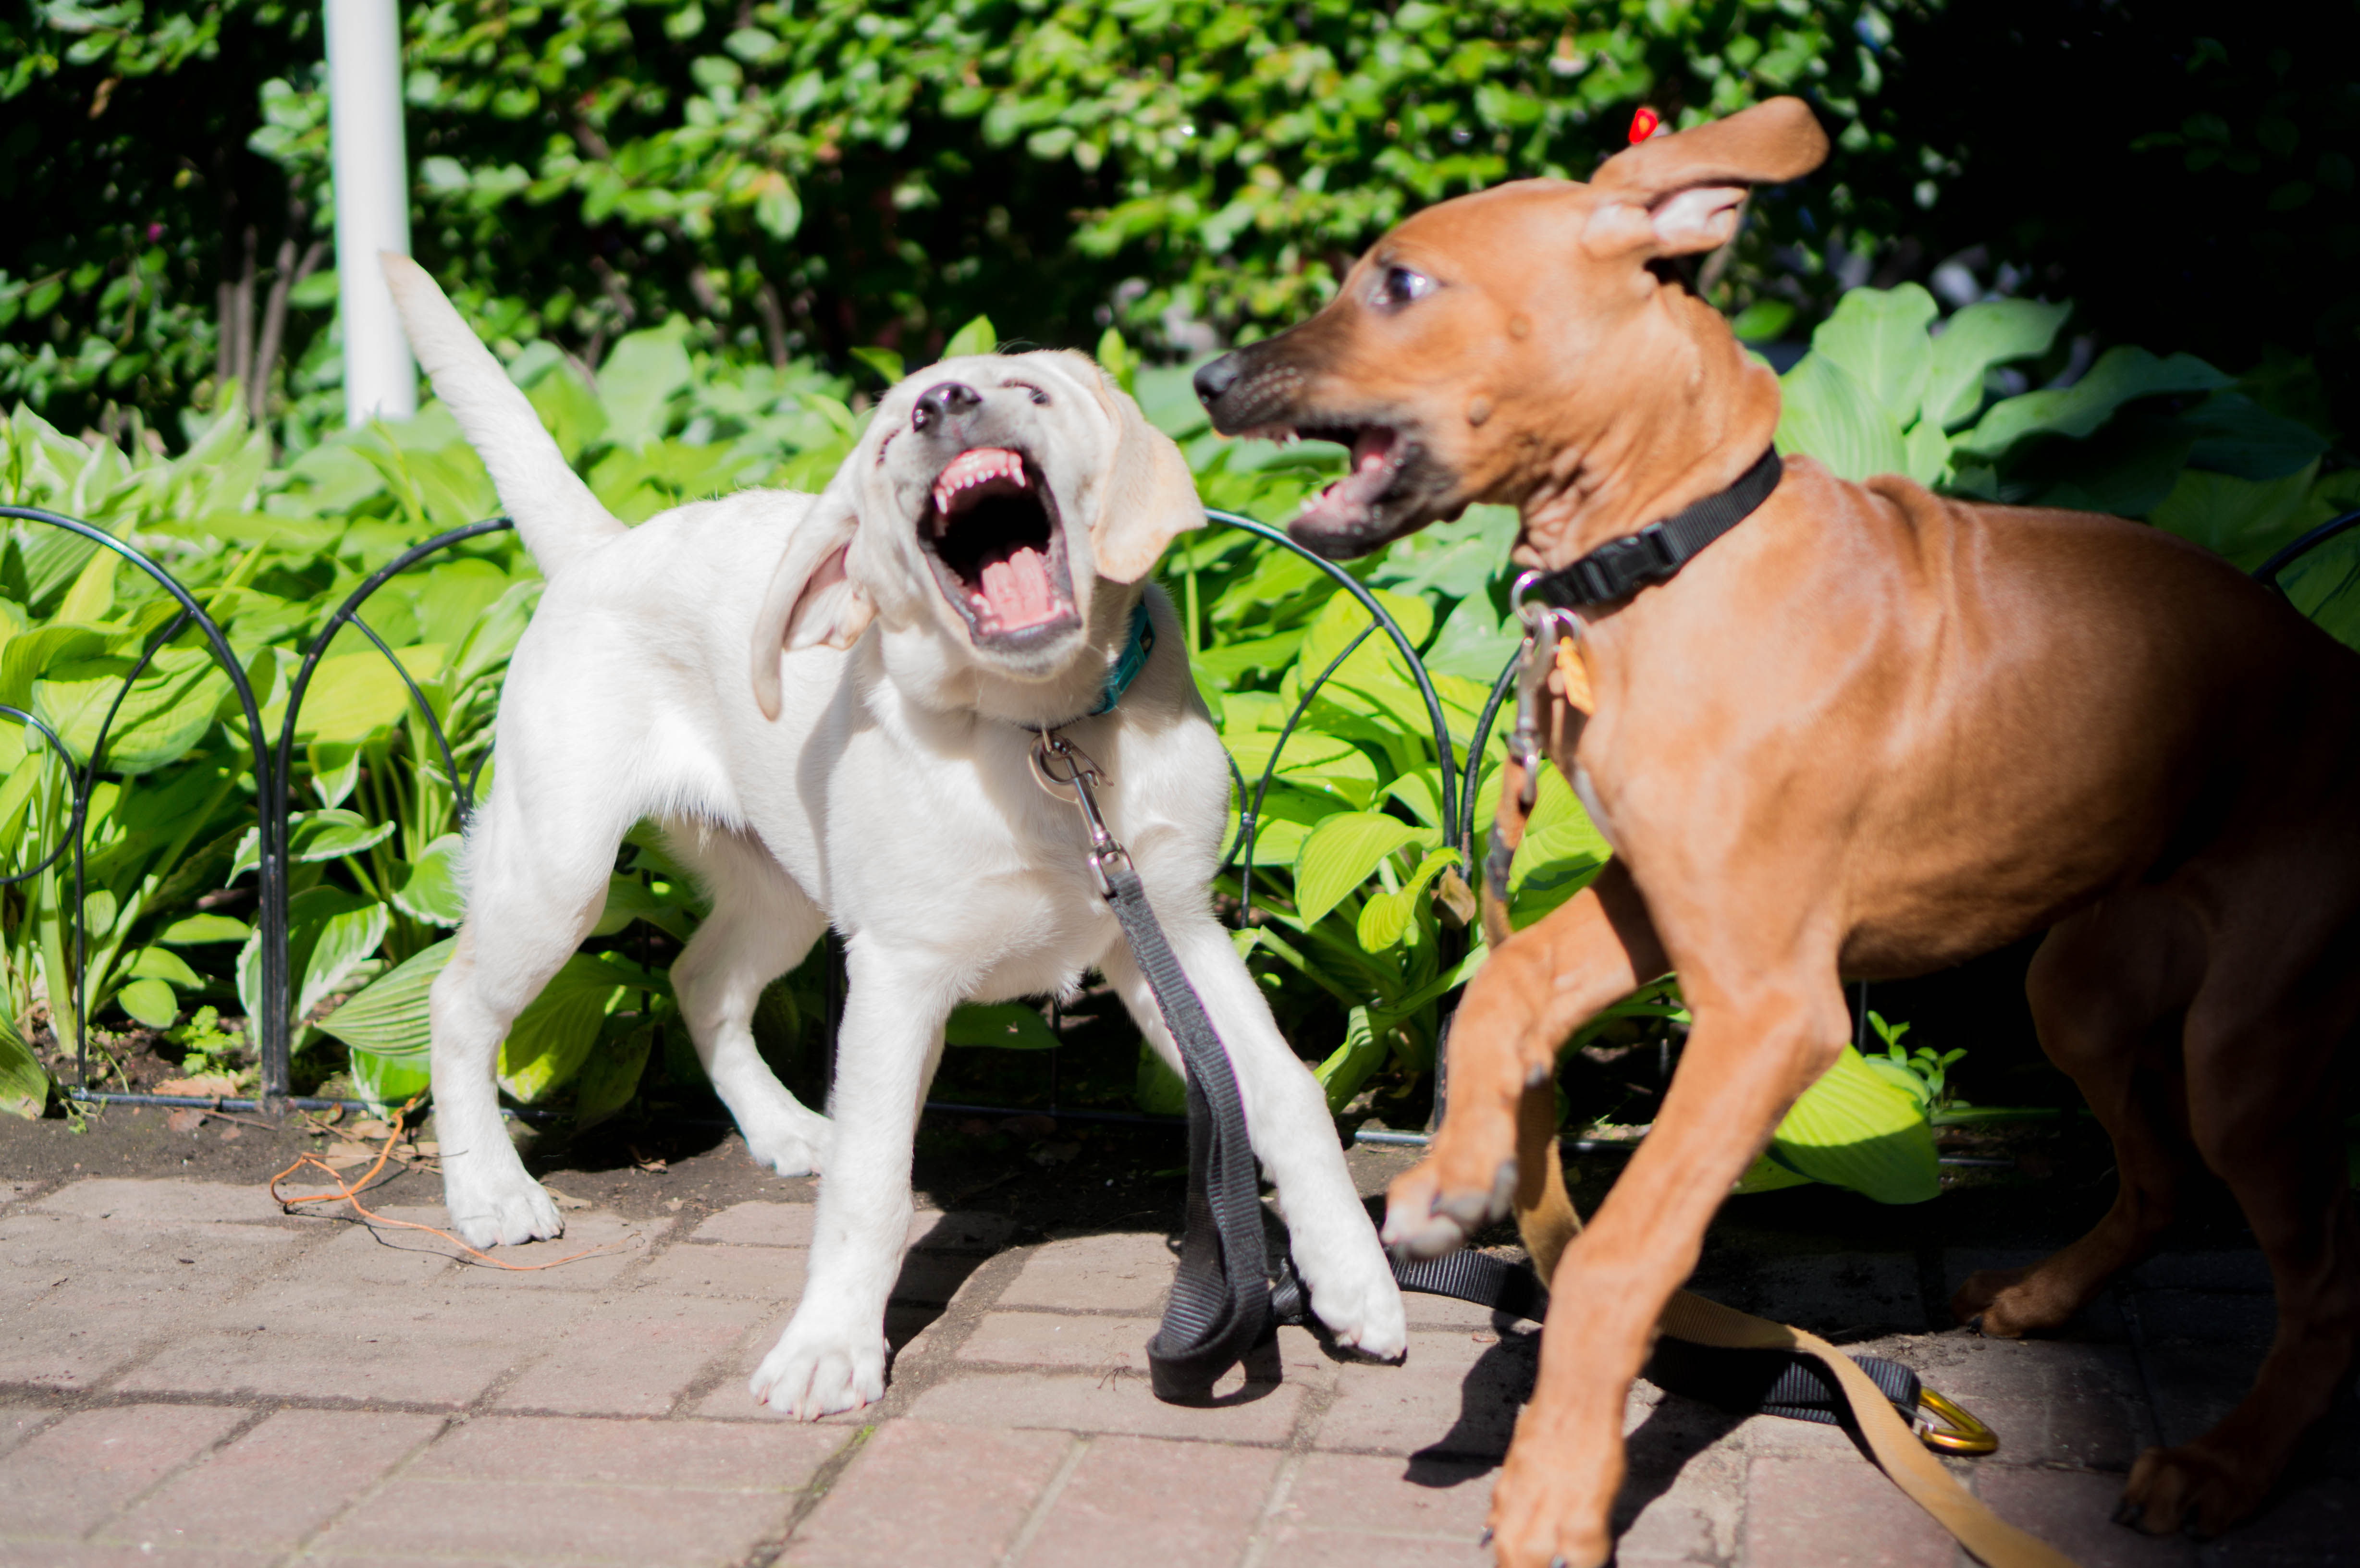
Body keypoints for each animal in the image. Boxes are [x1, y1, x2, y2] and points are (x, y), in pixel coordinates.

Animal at [1199, 95, 2360, 1568]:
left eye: (1399, 283)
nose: (1209, 380)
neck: (1669, 554)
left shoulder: (1768, 1008)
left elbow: (1623, 1252)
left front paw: (1554, 1490)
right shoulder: (1655, 900)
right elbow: (1505, 982)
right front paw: (1460, 1173)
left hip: (2249, 1046)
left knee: (2321, 1276)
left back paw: (2226, 1463)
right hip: (2083, 988)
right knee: (2157, 1183)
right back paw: (2044, 1304)